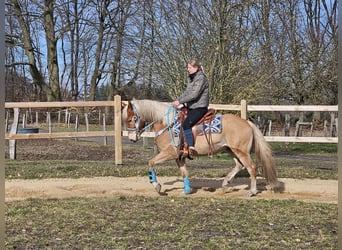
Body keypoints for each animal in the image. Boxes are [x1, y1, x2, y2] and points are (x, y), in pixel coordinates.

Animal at [122, 98, 278, 196]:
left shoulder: (170, 153)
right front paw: (187, 190)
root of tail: (247, 123)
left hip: (241, 152)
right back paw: (225, 183)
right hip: (231, 150)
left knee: (251, 167)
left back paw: (252, 191)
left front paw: (157, 186)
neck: (167, 124)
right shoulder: (179, 157)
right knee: (239, 165)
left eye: (130, 119)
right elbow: (184, 173)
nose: (132, 138)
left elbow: (151, 162)